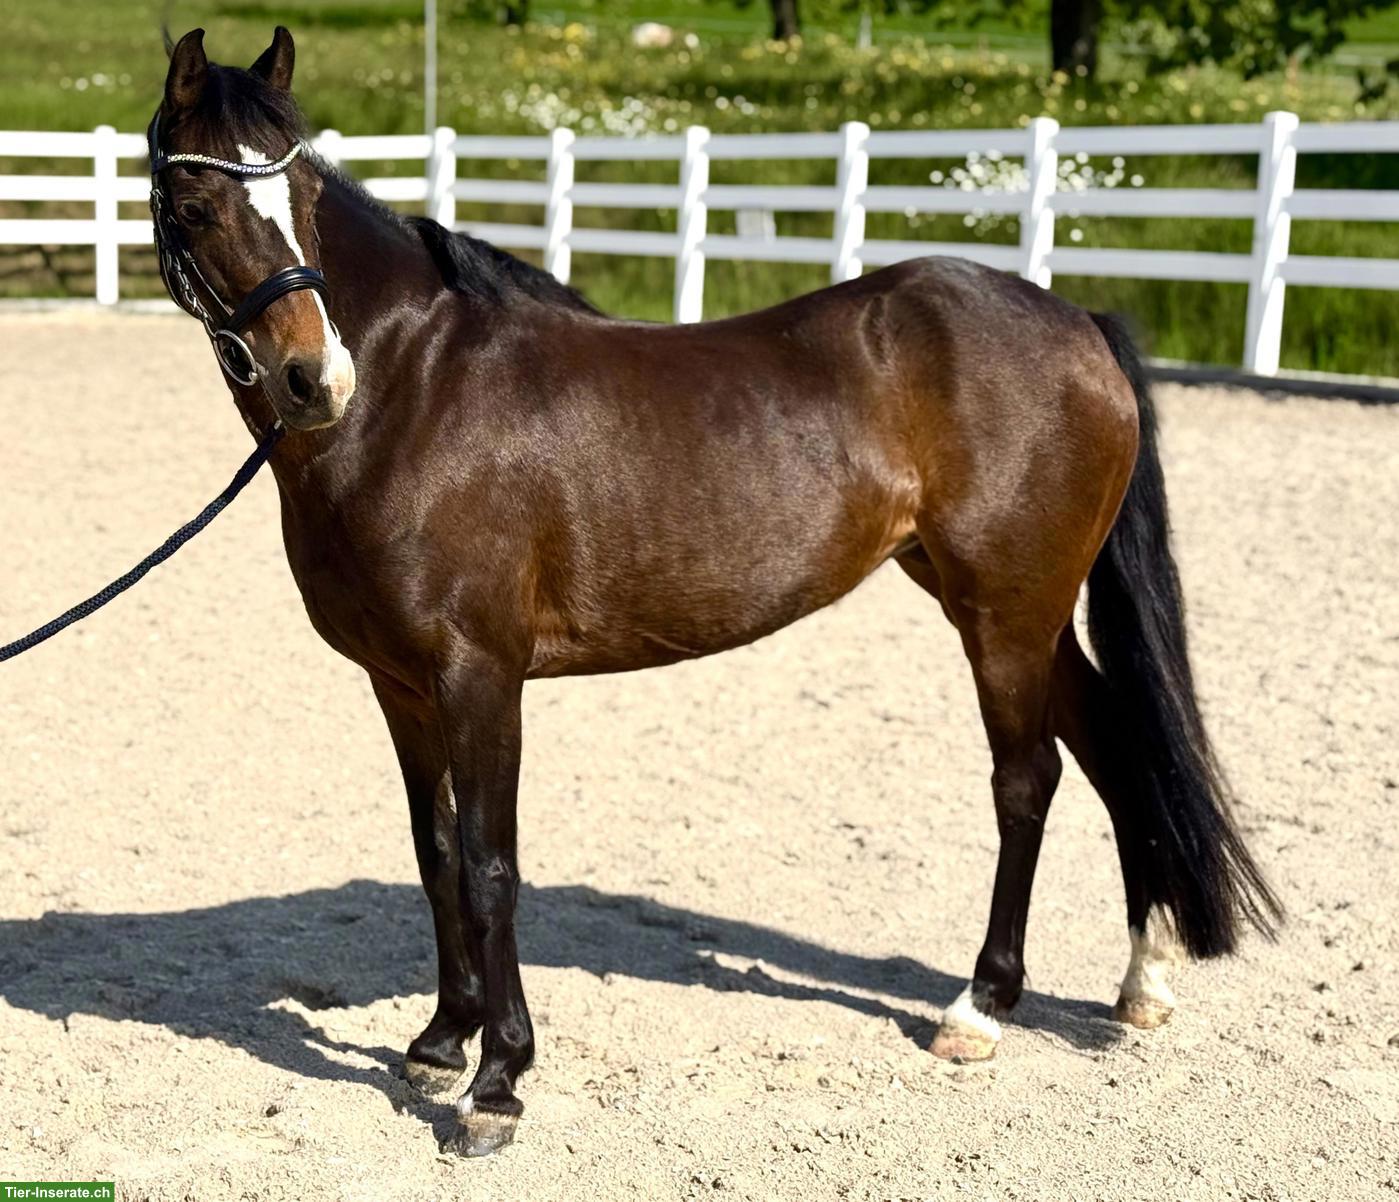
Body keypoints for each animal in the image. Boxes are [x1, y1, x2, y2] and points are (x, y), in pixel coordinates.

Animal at [147, 27, 1279, 1156]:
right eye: (196, 204)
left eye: (300, 192)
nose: (314, 380)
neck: (412, 390)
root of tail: (1076, 319)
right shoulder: (401, 684)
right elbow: (435, 854)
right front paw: (440, 1039)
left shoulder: (480, 675)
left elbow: (488, 862)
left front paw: (496, 1082)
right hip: (1025, 611)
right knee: (1114, 746)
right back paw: (1139, 984)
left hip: (1004, 613)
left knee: (1026, 780)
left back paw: (980, 1007)